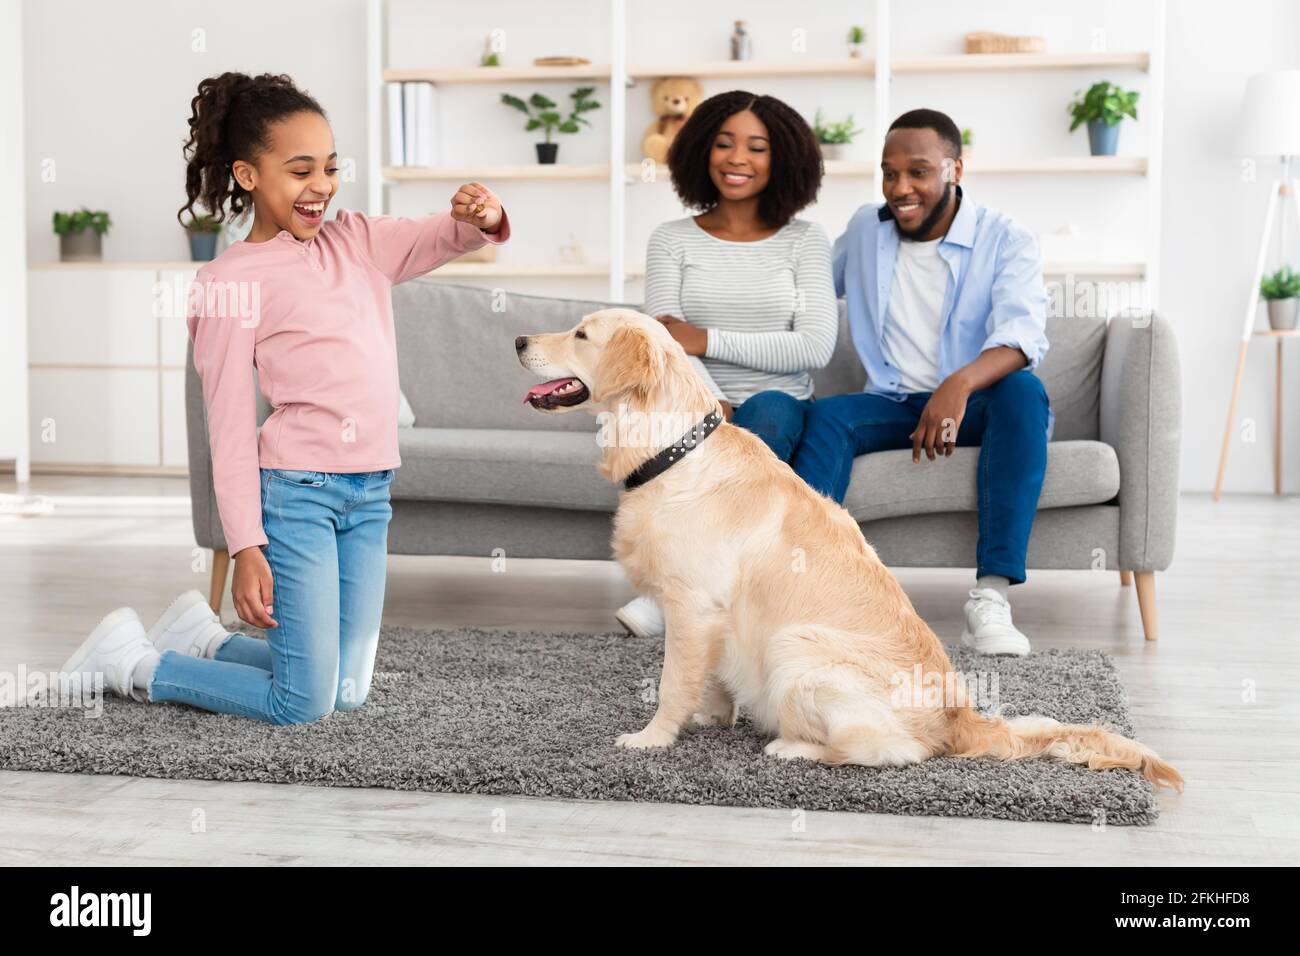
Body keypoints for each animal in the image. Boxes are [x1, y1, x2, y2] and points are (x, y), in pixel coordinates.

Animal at [514, 310, 1180, 790]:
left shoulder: (693, 605)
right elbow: (711, 678)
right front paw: (711, 714)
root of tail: (961, 717)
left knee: (892, 751)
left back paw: (792, 746)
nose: (519, 338)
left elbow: (674, 680)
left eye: (581, 333)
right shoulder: (715, 618)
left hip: (797, 647)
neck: (671, 448)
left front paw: (653, 738)